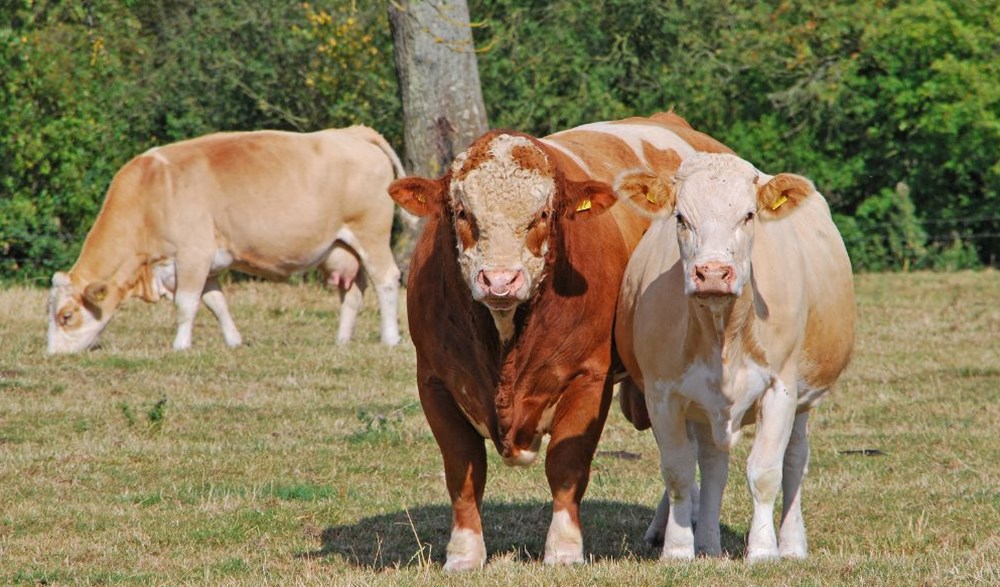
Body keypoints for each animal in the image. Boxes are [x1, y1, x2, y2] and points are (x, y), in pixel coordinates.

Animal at [47, 125, 404, 354]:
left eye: (66, 316)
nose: (52, 354)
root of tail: (353, 132)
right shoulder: (207, 264)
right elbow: (216, 303)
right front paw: (234, 341)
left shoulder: (193, 255)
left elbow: (186, 304)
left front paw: (180, 345)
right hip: (343, 247)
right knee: (353, 293)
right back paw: (342, 341)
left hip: (371, 236)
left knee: (386, 280)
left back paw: (390, 337)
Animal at [387, 112, 733, 571]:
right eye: (462, 212)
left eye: (542, 214)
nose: (500, 280)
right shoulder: (435, 381)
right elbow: (463, 468)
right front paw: (464, 553)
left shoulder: (587, 379)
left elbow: (566, 466)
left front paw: (564, 549)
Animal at [613, 150, 855, 561]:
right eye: (681, 217)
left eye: (748, 215)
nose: (712, 272)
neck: (722, 332)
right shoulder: (663, 395)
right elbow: (679, 471)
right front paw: (678, 550)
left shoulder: (780, 389)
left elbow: (766, 471)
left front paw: (763, 550)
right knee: (714, 465)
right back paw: (709, 544)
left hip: (804, 401)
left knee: (795, 462)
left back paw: (792, 543)